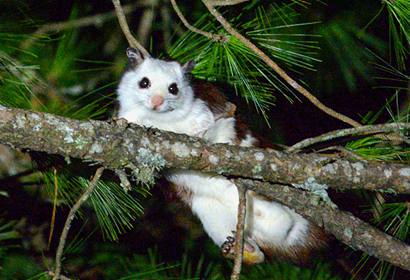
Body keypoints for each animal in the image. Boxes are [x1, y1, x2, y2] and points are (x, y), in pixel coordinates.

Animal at [117, 47, 328, 264]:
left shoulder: (210, 106)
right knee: (261, 251)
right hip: (210, 214)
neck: (160, 121)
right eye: (144, 82)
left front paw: (201, 136)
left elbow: (221, 117)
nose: (156, 102)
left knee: (282, 221)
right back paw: (238, 247)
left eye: (173, 88)